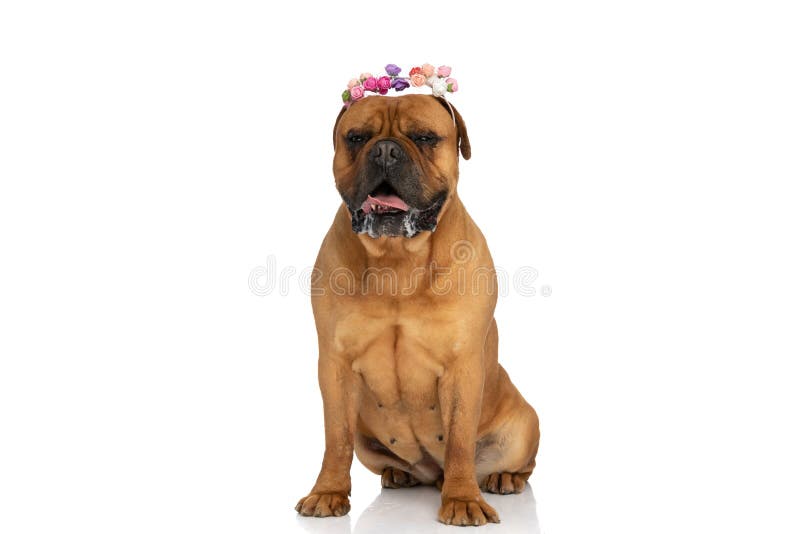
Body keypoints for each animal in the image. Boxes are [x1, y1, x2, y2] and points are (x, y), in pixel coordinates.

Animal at [294, 93, 536, 528]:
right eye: (357, 138)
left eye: (424, 137)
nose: (386, 151)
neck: (397, 260)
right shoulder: (334, 365)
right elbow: (335, 438)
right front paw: (328, 492)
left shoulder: (463, 366)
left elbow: (459, 439)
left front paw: (462, 499)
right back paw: (399, 473)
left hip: (526, 424)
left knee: (519, 463)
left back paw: (503, 478)